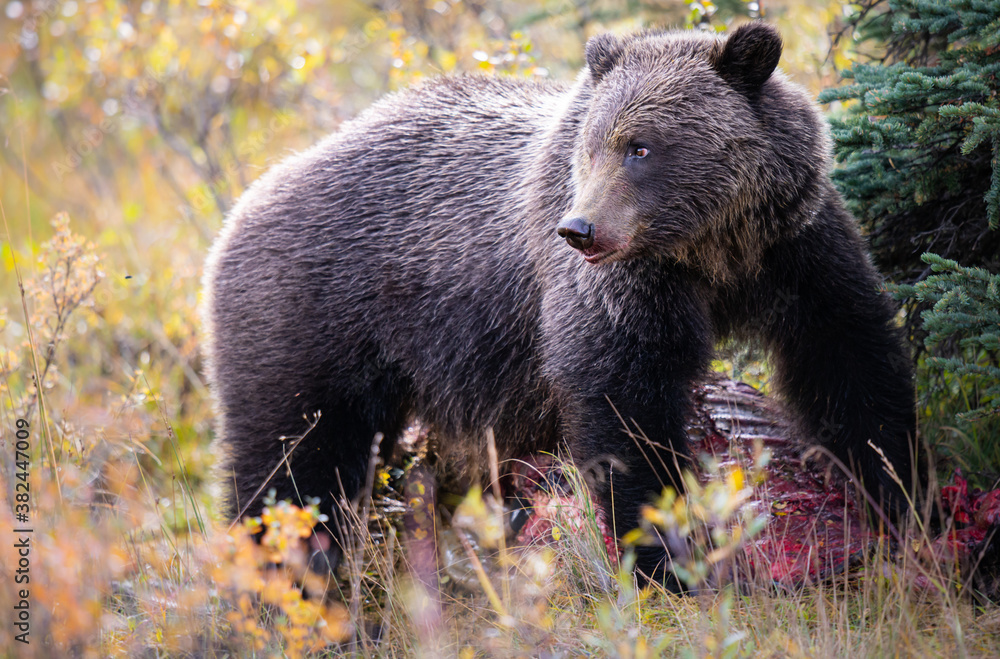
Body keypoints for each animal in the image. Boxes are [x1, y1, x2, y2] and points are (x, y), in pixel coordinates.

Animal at [201, 21, 918, 581]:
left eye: (641, 146)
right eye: (593, 146)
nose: (580, 229)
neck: (710, 251)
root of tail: (243, 204)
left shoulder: (795, 247)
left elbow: (849, 357)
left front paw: (899, 494)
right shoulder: (619, 288)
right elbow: (622, 404)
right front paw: (662, 556)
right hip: (313, 318)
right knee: (291, 467)